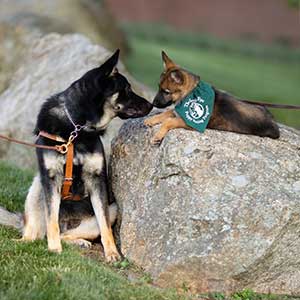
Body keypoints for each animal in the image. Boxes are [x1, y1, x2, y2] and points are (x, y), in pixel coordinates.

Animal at [0, 49, 152, 260]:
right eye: (127, 89)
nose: (152, 105)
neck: (76, 128)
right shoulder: (50, 178)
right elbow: (51, 221)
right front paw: (54, 249)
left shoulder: (97, 181)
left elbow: (105, 226)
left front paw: (112, 253)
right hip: (37, 187)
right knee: (37, 233)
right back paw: (24, 242)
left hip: (111, 208)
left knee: (69, 233)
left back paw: (79, 242)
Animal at [144, 50, 280, 144]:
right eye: (158, 88)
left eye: (166, 92)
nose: (153, 104)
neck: (191, 93)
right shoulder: (179, 111)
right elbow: (167, 113)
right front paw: (152, 119)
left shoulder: (190, 122)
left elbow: (169, 121)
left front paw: (157, 136)